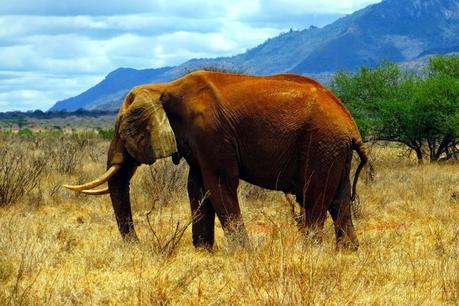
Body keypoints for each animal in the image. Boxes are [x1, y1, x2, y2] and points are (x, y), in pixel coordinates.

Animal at [64, 70, 368, 250]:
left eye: (123, 131)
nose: (137, 246)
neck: (164, 88)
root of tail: (351, 125)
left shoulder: (210, 132)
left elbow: (219, 182)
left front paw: (242, 251)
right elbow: (197, 186)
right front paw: (203, 250)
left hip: (321, 144)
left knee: (314, 195)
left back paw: (307, 249)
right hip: (333, 149)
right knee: (338, 199)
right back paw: (348, 250)